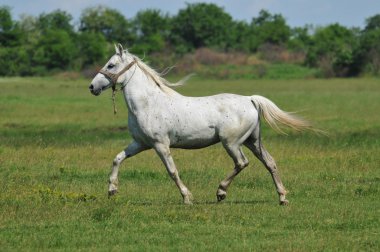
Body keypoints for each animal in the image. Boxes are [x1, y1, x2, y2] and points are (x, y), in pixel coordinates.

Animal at [90, 43, 314, 205]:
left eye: (111, 65)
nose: (92, 87)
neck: (148, 104)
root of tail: (250, 99)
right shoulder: (140, 143)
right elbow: (117, 159)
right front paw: (112, 190)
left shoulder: (160, 145)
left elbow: (172, 171)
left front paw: (187, 197)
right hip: (252, 141)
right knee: (270, 163)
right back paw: (282, 198)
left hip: (231, 143)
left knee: (242, 163)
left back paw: (221, 192)